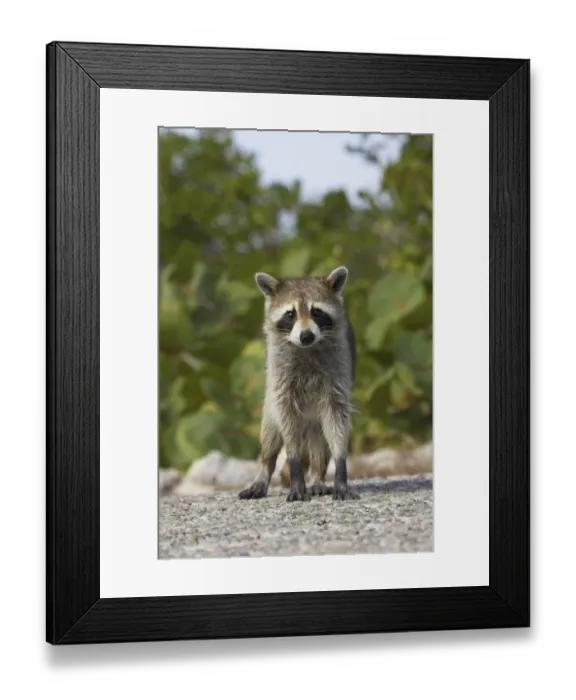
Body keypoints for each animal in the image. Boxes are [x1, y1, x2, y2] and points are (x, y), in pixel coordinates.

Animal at [238, 266, 358, 502]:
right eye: (290, 314)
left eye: (317, 312)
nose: (306, 336)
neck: (307, 349)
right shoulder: (281, 382)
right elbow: (286, 427)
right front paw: (295, 471)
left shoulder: (337, 373)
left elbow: (337, 422)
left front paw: (341, 470)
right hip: (270, 402)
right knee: (270, 435)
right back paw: (264, 472)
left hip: (316, 422)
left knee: (321, 444)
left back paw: (318, 477)